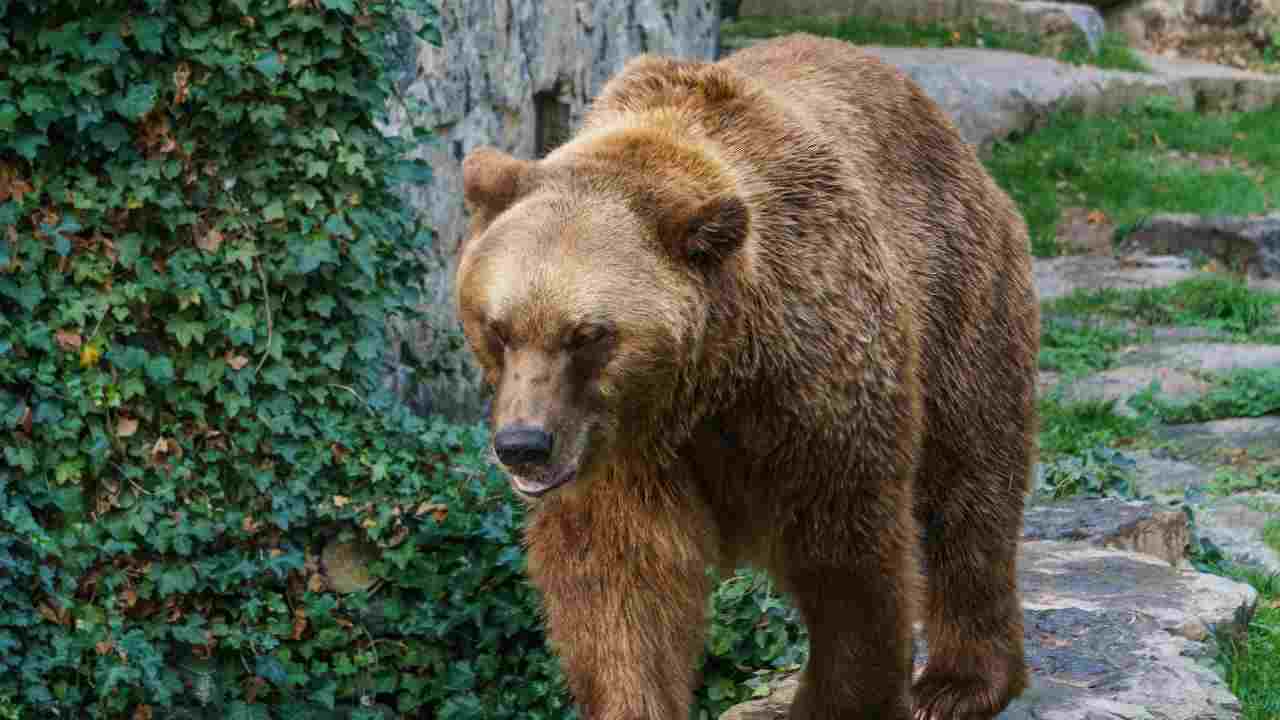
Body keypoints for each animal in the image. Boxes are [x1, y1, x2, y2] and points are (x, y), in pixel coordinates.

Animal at [450, 30, 1039, 712]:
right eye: (498, 327)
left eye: (589, 335)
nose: (523, 444)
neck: (708, 381)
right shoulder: (624, 456)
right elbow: (619, 586)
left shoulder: (813, 388)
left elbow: (851, 563)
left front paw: (840, 700)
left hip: (958, 296)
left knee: (971, 484)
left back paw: (958, 682)